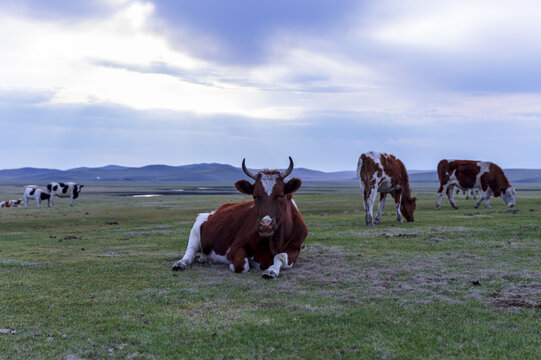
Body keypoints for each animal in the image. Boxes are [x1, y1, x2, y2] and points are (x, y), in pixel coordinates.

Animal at [173, 157, 308, 278]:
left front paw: (271, 271)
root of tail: (214, 212)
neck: (274, 242)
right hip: (195, 231)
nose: (265, 224)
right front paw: (231, 264)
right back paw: (181, 264)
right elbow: (242, 265)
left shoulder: (295, 248)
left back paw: (203, 258)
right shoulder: (235, 247)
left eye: (280, 195)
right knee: (189, 253)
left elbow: (281, 256)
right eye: (255, 196)